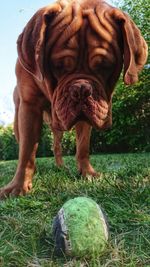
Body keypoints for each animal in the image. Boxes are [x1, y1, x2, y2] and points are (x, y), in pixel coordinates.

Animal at [0, 0, 148, 199]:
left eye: (105, 66)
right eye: (58, 66)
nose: (81, 89)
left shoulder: (85, 118)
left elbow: (83, 146)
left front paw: (87, 173)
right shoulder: (29, 107)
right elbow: (27, 150)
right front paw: (18, 186)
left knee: (57, 146)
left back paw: (61, 167)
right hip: (19, 119)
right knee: (24, 143)